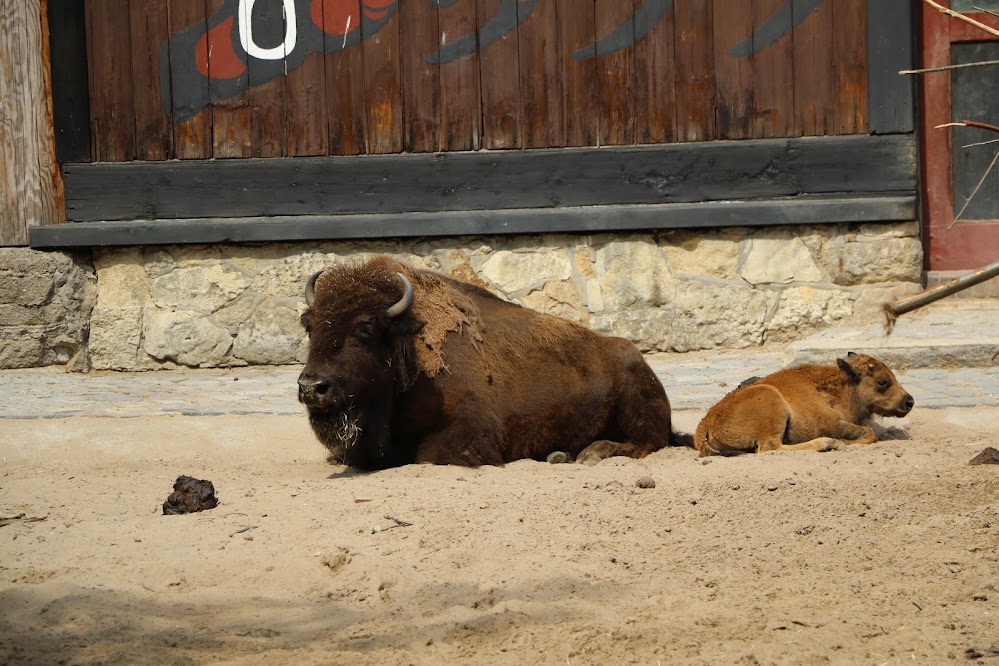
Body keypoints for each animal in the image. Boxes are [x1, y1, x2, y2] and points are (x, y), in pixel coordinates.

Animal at [298, 254, 688, 466]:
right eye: (309, 326)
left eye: (365, 329)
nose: (311, 388)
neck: (406, 342)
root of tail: (638, 358)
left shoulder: (474, 426)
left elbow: (427, 453)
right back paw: (560, 454)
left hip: (638, 405)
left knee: (647, 442)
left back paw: (592, 452)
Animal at [696, 352, 916, 456]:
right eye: (882, 381)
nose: (909, 402)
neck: (839, 386)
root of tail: (705, 424)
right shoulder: (831, 423)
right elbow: (869, 434)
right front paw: (840, 443)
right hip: (772, 404)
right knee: (770, 447)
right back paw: (827, 444)